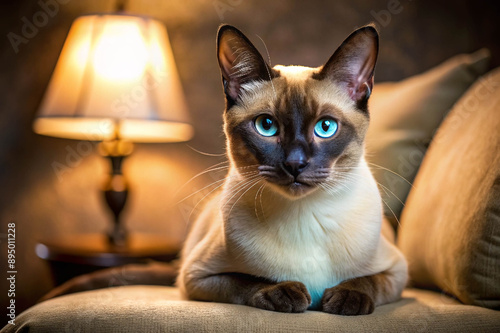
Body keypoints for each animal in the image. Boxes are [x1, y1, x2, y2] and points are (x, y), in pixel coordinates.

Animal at [178, 25, 408, 314]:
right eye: (266, 126)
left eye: (325, 127)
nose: (295, 164)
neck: (304, 214)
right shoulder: (196, 277)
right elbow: (246, 280)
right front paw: (286, 294)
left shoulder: (398, 271)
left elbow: (367, 280)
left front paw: (346, 300)